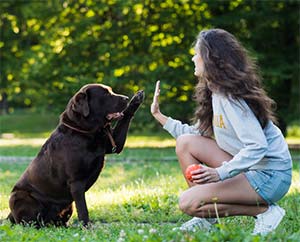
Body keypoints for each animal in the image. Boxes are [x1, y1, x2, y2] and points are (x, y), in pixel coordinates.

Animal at [6, 83, 143, 227]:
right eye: (106, 94)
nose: (126, 98)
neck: (86, 132)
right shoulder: (76, 182)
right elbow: (83, 208)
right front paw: (87, 227)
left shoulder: (113, 144)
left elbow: (125, 117)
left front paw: (136, 99)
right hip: (18, 197)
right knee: (29, 223)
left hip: (67, 207)